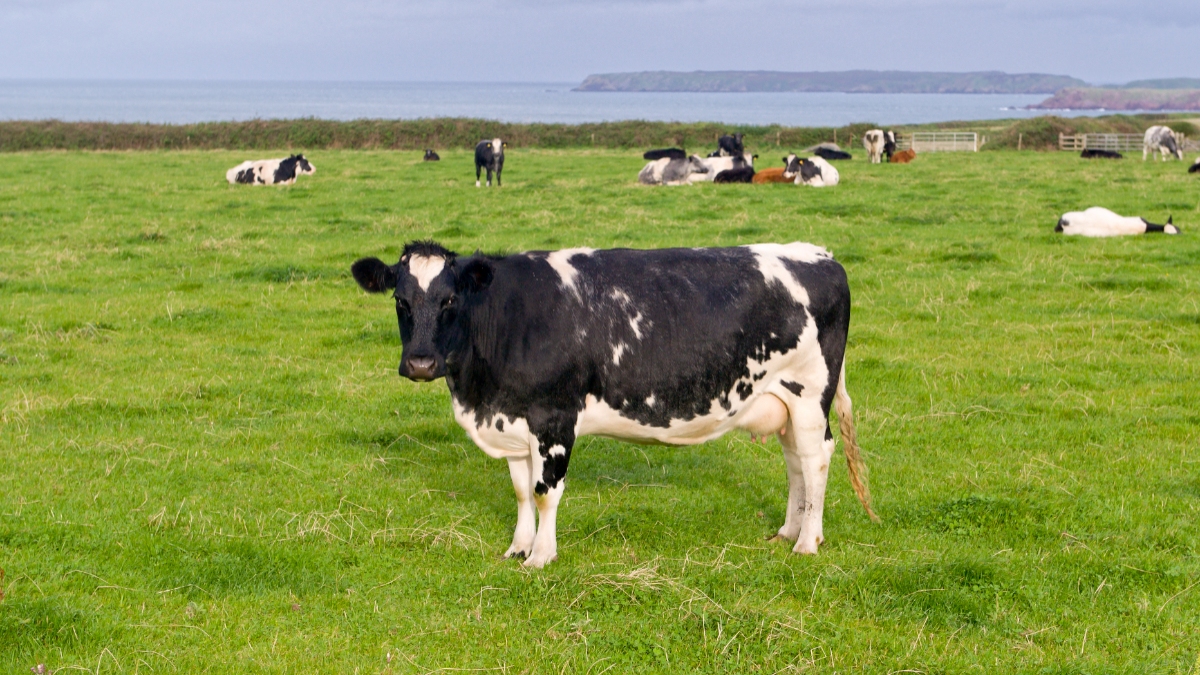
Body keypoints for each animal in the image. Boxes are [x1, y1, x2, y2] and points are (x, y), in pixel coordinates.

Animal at [350, 239, 878, 564]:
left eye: (450, 300)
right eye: (400, 301)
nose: (420, 362)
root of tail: (818, 254)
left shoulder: (554, 418)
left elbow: (544, 492)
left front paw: (541, 556)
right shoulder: (513, 420)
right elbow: (520, 491)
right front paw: (518, 548)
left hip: (809, 394)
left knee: (816, 458)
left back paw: (807, 542)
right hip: (782, 400)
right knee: (795, 462)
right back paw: (788, 530)